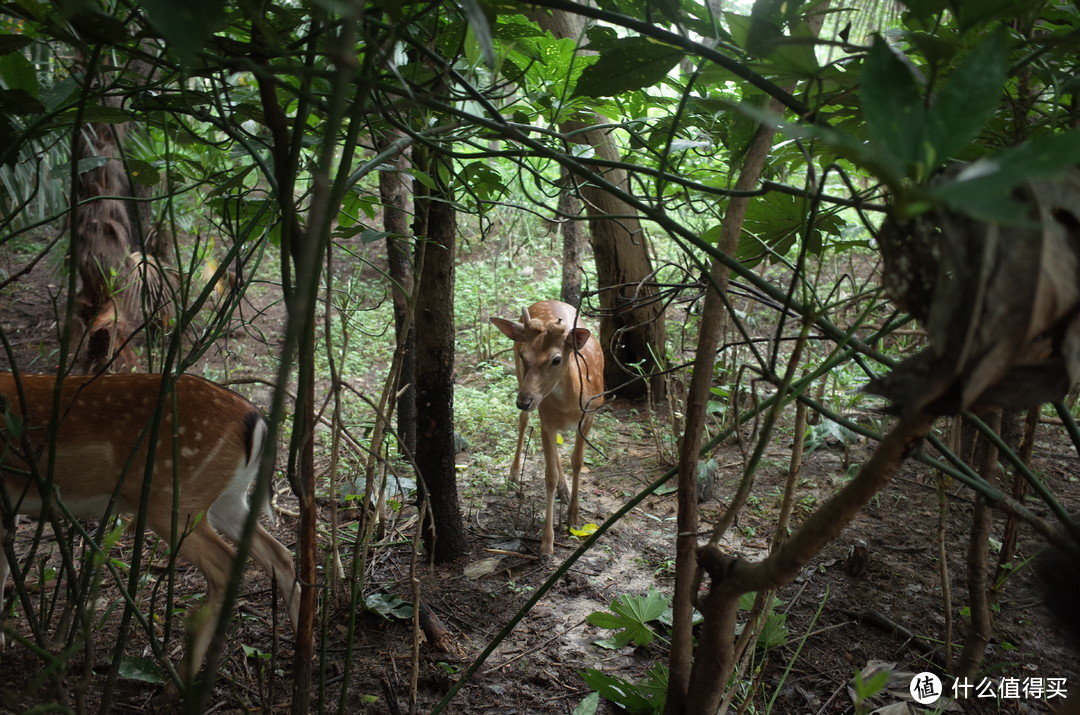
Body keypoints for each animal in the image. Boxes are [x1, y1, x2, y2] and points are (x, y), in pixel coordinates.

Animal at [0, 371, 302, 686]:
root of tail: (256, 418)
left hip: (173, 500)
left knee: (225, 565)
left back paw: (178, 683)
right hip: (227, 499)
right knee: (279, 553)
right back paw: (306, 653)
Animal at [492, 300, 609, 557]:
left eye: (556, 359)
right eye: (523, 354)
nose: (523, 400)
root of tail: (546, 301)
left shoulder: (590, 415)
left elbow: (577, 461)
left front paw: (574, 516)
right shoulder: (546, 421)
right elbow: (549, 477)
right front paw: (546, 544)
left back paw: (565, 493)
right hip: (523, 385)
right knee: (524, 421)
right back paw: (514, 472)